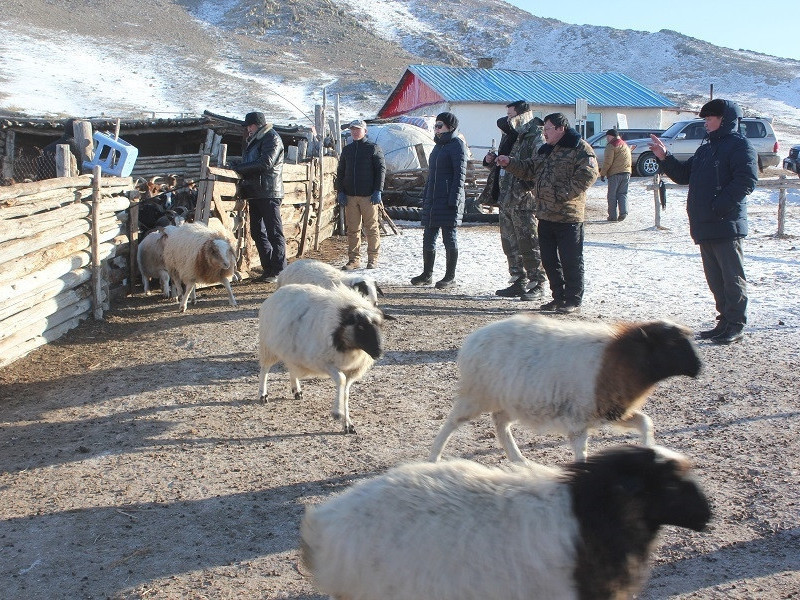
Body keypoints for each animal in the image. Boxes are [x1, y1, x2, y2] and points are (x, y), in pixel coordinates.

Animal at [258, 284, 390, 434]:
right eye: (360, 326)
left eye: (380, 326)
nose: (379, 352)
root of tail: (277, 292)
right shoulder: (323, 362)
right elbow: (341, 380)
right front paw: (337, 413)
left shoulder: (352, 371)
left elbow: (345, 393)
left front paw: (347, 424)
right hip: (268, 346)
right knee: (264, 369)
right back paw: (263, 394)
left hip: (292, 351)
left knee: (292, 369)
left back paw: (297, 390)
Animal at [432, 314, 700, 464]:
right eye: (671, 342)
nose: (698, 368)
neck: (622, 358)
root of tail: (472, 340)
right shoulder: (579, 420)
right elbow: (582, 452)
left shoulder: (611, 410)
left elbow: (645, 422)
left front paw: (650, 450)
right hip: (477, 394)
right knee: (452, 422)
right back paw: (434, 457)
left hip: (514, 400)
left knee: (500, 422)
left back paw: (518, 460)